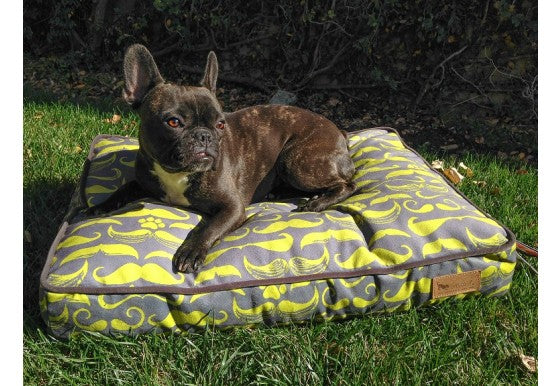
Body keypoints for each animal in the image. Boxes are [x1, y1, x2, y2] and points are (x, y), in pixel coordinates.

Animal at [91, 45, 354, 272]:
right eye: (173, 122)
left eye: (220, 124)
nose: (204, 136)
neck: (178, 174)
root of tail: (339, 132)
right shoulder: (144, 178)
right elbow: (125, 187)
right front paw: (101, 206)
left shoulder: (233, 208)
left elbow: (210, 227)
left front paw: (191, 251)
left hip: (294, 161)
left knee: (348, 185)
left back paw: (316, 202)